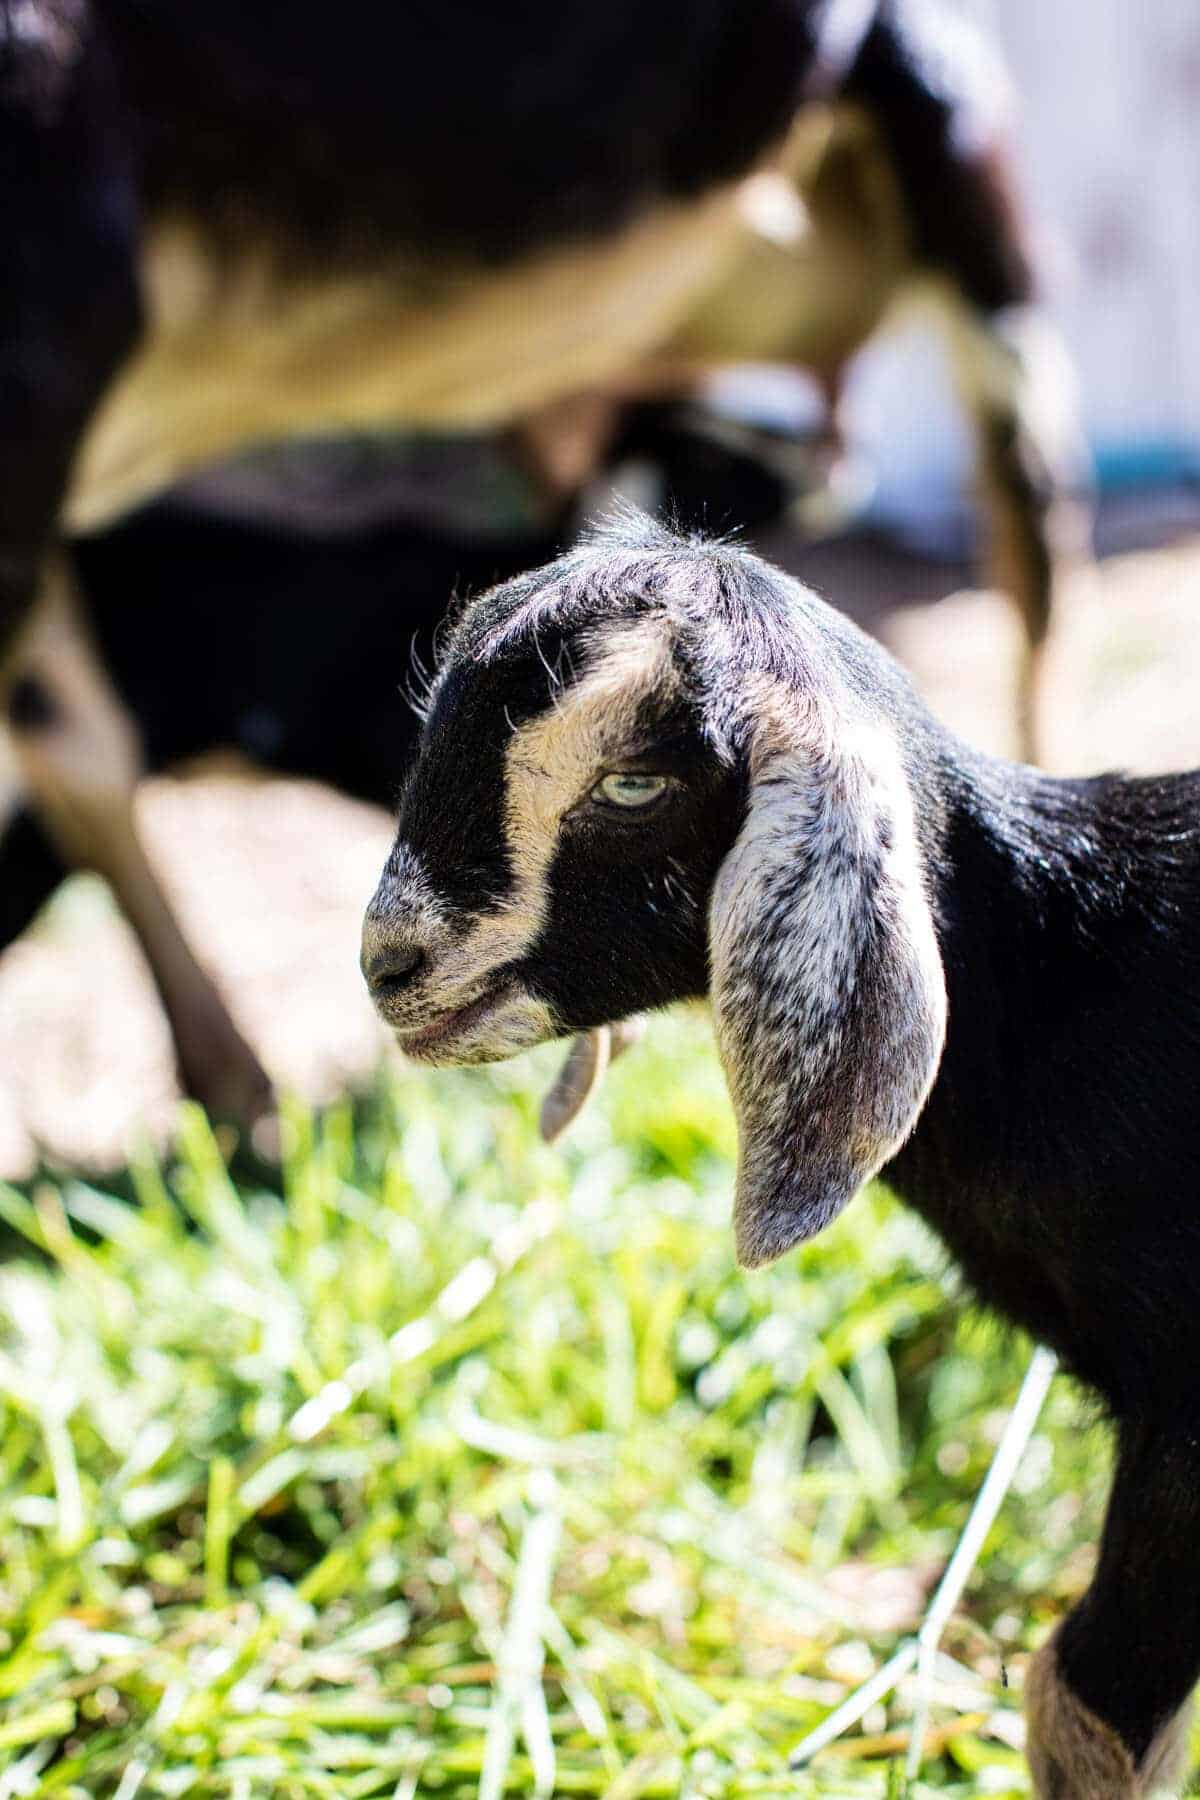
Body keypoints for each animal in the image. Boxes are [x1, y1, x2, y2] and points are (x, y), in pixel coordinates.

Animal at [2, 0, 1082, 1124]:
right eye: (711, 467)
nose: (826, 470)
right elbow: (76, 751)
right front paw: (233, 1093)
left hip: (941, 143)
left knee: (1031, 509)